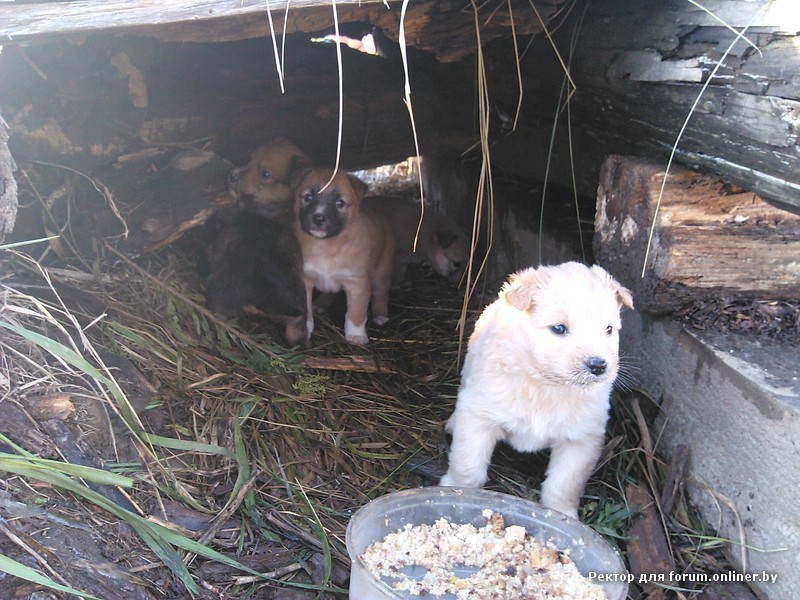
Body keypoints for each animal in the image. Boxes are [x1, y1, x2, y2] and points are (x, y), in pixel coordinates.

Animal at [292, 169, 396, 346]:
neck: (326, 246)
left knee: (381, 294)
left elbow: (356, 312)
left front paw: (355, 336)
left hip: (383, 269)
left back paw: (380, 315)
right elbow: (306, 309)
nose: (318, 217)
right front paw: (305, 329)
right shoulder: (305, 279)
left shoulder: (358, 283)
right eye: (308, 197)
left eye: (340, 203)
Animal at [438, 262, 632, 520]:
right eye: (559, 328)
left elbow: (564, 484)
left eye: (609, 329)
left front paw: (564, 515)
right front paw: (456, 491)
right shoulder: (479, 417)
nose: (598, 365)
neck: (546, 385)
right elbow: (467, 465)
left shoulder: (581, 439)